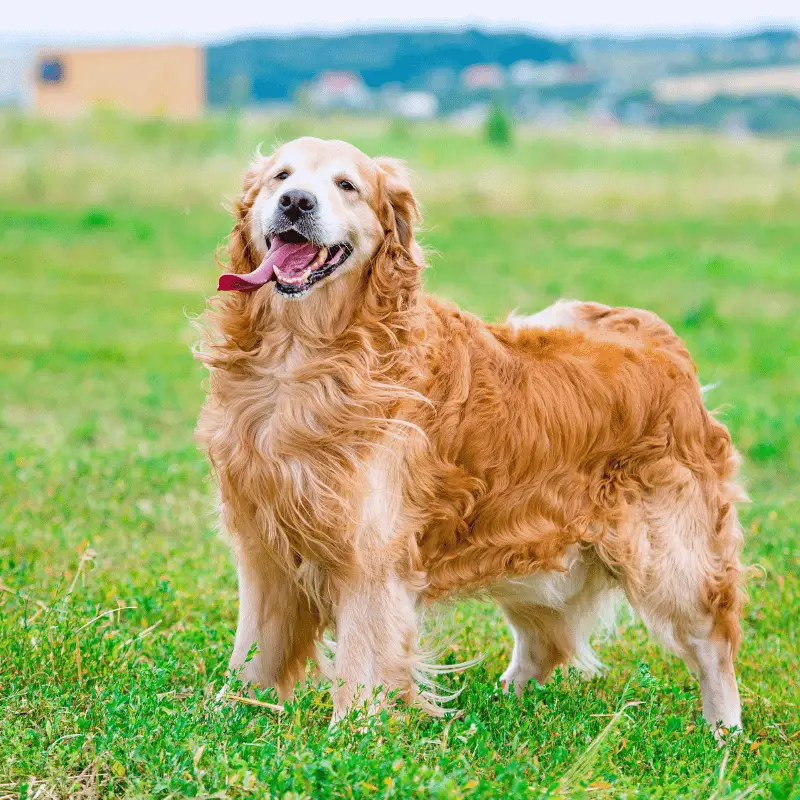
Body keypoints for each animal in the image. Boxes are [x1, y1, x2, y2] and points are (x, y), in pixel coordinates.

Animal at [197, 134, 748, 736]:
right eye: (281, 176)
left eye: (347, 185)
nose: (296, 202)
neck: (305, 355)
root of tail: (659, 338)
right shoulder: (262, 544)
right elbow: (252, 651)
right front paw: (225, 716)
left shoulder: (372, 554)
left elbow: (361, 666)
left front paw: (352, 738)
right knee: (546, 639)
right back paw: (504, 704)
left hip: (671, 557)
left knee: (713, 640)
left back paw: (725, 731)